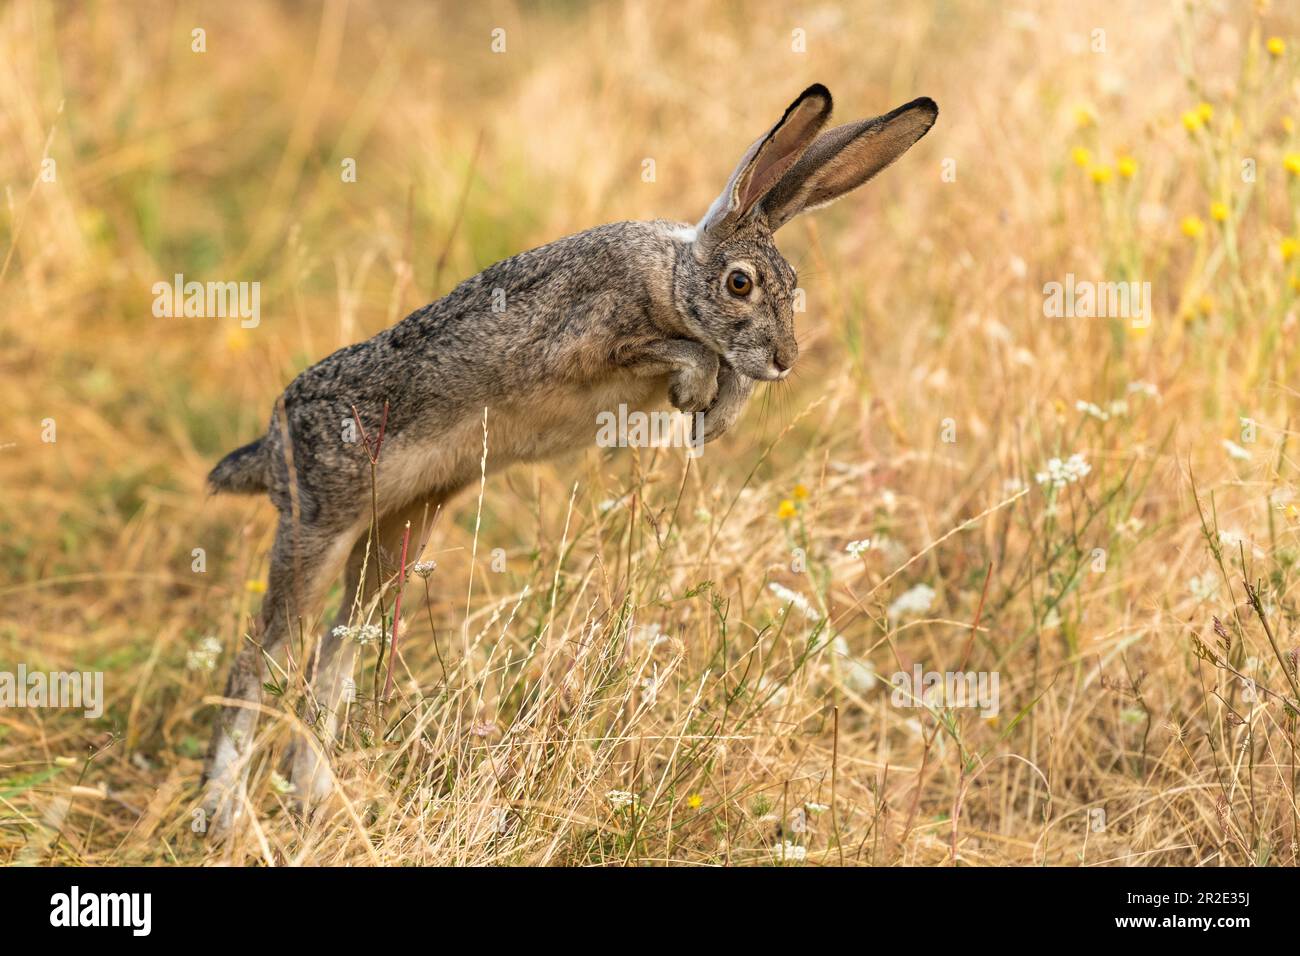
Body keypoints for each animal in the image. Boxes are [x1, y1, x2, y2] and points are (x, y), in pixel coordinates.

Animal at [200, 83, 937, 838]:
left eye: (792, 287)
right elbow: (686, 350)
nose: (786, 359)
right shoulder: (584, 342)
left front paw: (717, 415)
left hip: (398, 531)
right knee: (255, 663)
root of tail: (271, 441)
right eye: (740, 284)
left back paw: (318, 803)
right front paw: (698, 392)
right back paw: (221, 811)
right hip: (318, 522)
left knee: (333, 652)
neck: (670, 276)